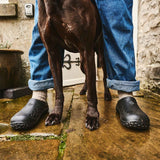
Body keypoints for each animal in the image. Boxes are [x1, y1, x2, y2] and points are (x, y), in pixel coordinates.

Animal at [38, 0, 110, 130]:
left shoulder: (87, 50)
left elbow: (93, 90)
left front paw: (92, 116)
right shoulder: (52, 53)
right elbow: (58, 90)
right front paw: (56, 114)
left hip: (100, 55)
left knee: (104, 76)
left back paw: (107, 94)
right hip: (82, 62)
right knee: (87, 76)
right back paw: (83, 89)